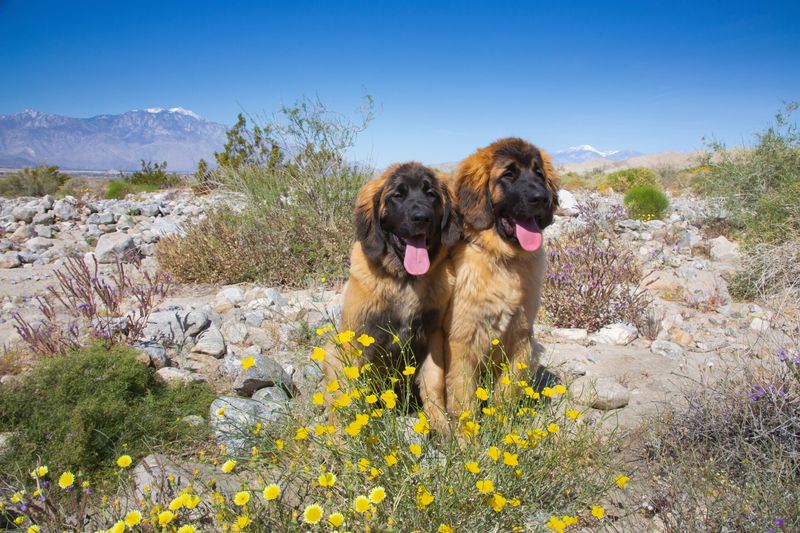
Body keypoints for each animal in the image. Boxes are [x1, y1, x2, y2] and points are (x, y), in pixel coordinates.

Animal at [324, 163, 462, 432]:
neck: (404, 281)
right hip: (331, 349)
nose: (422, 218)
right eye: (397, 195)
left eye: (431, 194)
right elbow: (351, 389)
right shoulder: (358, 337)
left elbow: (433, 382)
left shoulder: (432, 335)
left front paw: (441, 425)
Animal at [440, 136, 560, 416]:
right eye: (508, 174)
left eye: (538, 172)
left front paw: (501, 422)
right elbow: (464, 397)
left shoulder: (521, 337)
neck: (503, 260)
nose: (542, 197)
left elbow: (507, 391)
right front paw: (468, 429)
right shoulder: (462, 340)